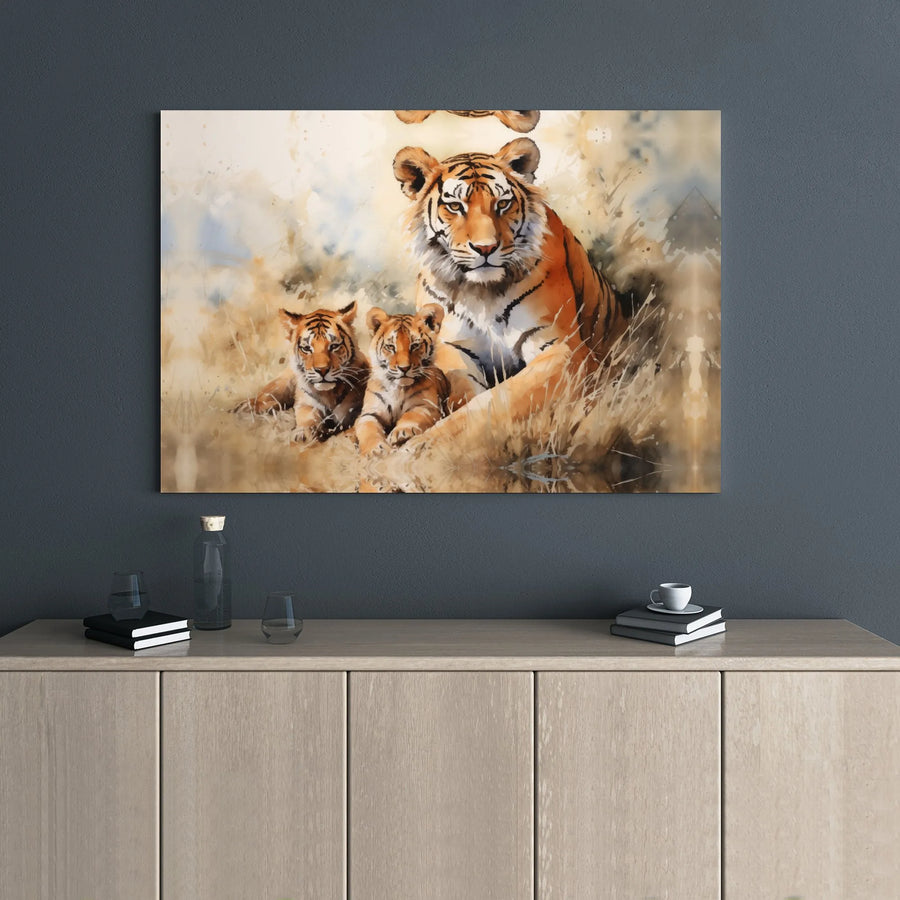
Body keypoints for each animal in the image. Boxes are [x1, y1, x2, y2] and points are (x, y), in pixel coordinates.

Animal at [234, 302, 369, 444]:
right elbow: (306, 417)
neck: (328, 393)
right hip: (281, 384)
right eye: (307, 348)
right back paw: (244, 408)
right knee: (264, 397)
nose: (322, 370)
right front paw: (303, 434)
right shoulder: (305, 403)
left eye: (333, 346)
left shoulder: (355, 407)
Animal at [355, 304, 450, 455]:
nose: (404, 368)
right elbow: (367, 429)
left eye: (415, 345)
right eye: (390, 347)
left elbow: (412, 415)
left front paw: (401, 432)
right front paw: (375, 450)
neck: (397, 388)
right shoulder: (369, 413)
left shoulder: (427, 406)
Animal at [391, 136, 629, 440]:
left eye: (502, 204)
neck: (481, 293)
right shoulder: (451, 348)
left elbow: (495, 402)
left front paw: (423, 445)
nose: (485, 248)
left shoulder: (562, 348)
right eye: (455, 206)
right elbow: (465, 393)